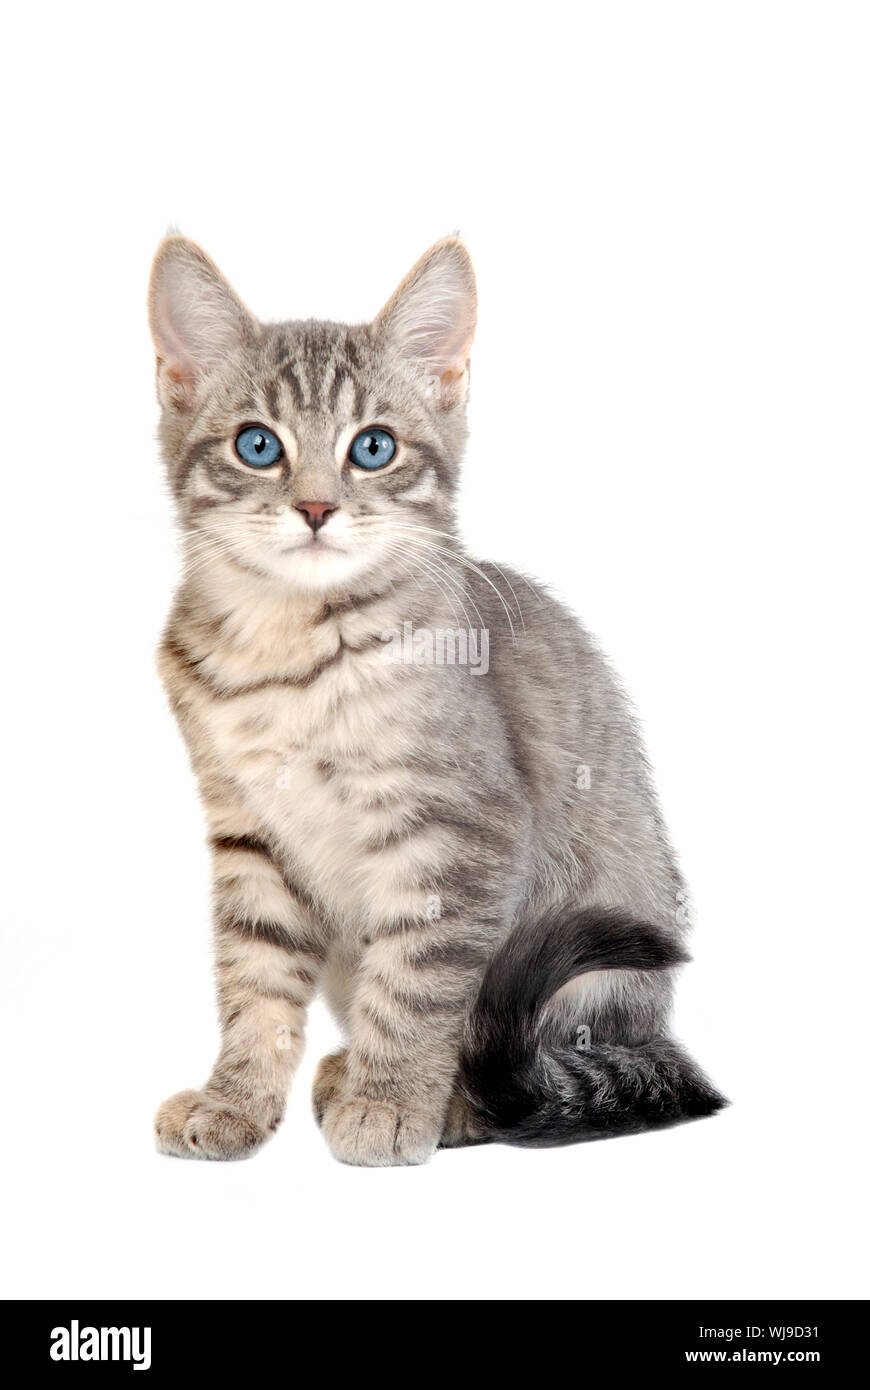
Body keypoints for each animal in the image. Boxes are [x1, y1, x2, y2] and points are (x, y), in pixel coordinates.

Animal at [150, 236, 722, 1162]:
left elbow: (416, 982)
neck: (291, 652)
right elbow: (255, 981)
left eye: (374, 447)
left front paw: (391, 1102)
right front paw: (235, 1098)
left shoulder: (462, 830)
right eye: (258, 445)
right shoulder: (248, 832)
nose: (316, 506)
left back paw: (448, 1100)